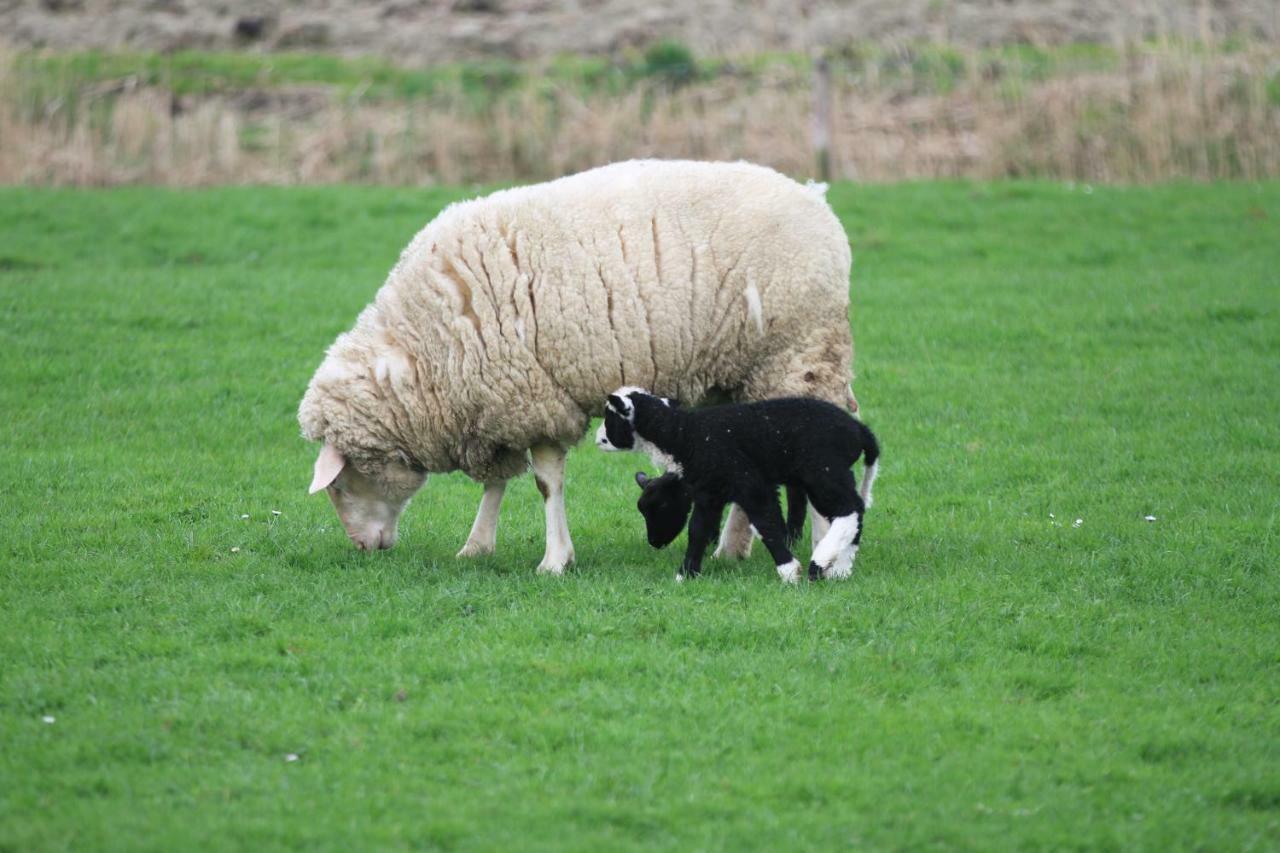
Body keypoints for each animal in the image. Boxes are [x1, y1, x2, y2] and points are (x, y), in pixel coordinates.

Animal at [300, 159, 860, 571]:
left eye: (343, 483)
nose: (364, 549)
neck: (423, 348)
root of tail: (815, 198)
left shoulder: (538, 397)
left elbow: (546, 483)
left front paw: (555, 560)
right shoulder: (497, 403)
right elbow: (496, 482)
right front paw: (478, 545)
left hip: (798, 353)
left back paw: (823, 548)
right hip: (737, 373)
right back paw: (731, 549)